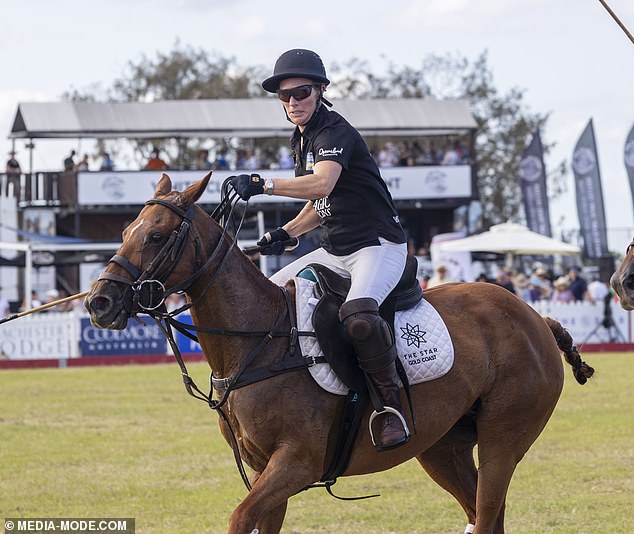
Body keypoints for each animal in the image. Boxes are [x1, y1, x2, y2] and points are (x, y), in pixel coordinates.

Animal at [85, 174, 592, 532]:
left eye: (157, 235)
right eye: (128, 229)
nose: (99, 302)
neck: (255, 345)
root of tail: (535, 316)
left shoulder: (296, 461)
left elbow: (239, 517)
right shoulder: (266, 470)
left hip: (503, 438)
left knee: (487, 512)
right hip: (442, 446)